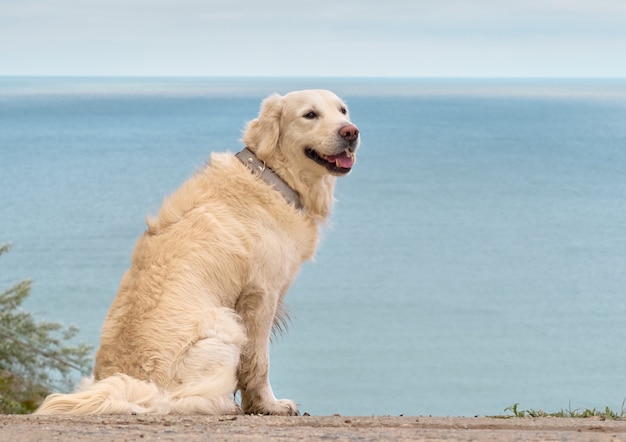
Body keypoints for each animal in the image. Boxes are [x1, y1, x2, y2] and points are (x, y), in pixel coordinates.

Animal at [36, 89, 360, 414]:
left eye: (343, 111)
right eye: (310, 115)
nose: (351, 132)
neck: (271, 176)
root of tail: (145, 387)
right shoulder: (261, 295)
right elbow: (258, 362)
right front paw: (269, 405)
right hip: (225, 326)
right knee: (181, 401)